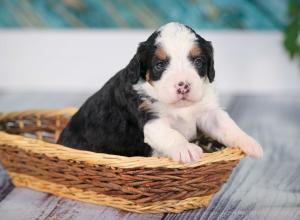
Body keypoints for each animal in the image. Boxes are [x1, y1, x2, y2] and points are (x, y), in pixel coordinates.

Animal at [57, 22, 264, 162]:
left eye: (198, 61)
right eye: (159, 65)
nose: (183, 86)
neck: (180, 107)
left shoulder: (208, 112)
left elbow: (226, 124)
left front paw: (249, 142)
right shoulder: (150, 118)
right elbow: (170, 134)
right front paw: (186, 149)